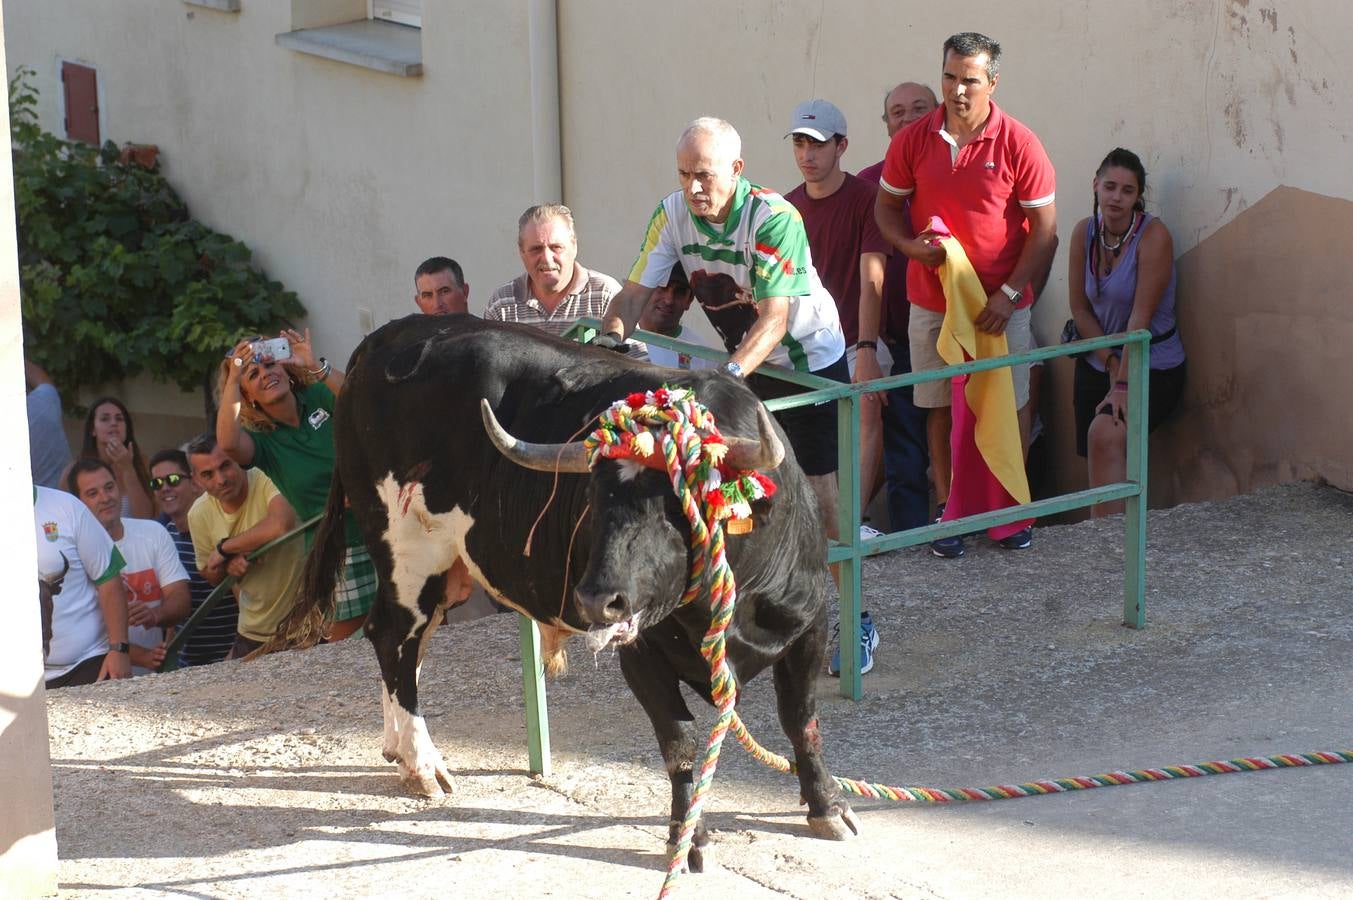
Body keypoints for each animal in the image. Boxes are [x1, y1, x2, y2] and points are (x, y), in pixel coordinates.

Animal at [292, 313, 855, 866]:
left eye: (677, 508)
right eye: (594, 500)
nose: (594, 599)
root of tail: (386, 337)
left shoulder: (809, 624)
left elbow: (801, 720)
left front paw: (826, 803)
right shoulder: (641, 655)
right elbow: (680, 740)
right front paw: (688, 836)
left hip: (444, 566)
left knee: (404, 642)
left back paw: (396, 746)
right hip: (408, 545)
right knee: (395, 637)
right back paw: (422, 764)